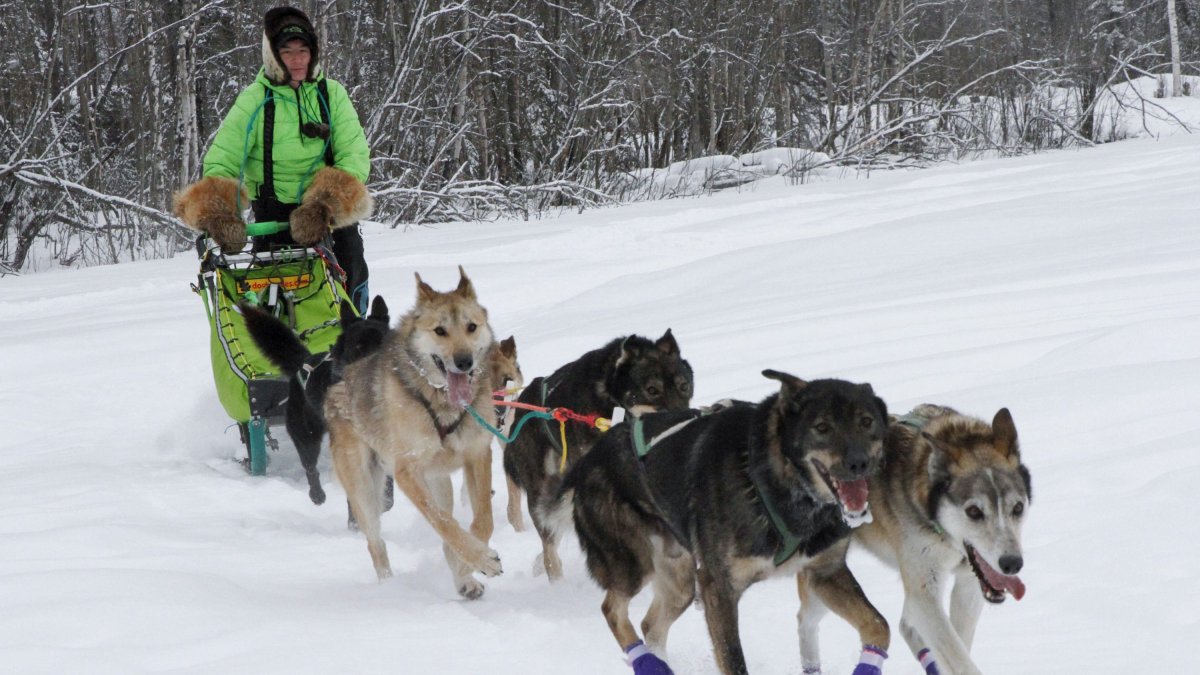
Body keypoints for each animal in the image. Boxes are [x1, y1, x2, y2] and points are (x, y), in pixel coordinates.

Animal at [241, 295, 391, 504]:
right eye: (358, 348)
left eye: (381, 343)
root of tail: (303, 363)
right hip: (306, 436)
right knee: (310, 467)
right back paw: (317, 494)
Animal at [796, 403, 1032, 672]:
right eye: (973, 511)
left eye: (1017, 508)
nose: (1012, 563)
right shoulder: (924, 592)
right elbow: (959, 659)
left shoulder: (967, 584)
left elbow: (956, 642)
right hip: (825, 576)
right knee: (804, 619)